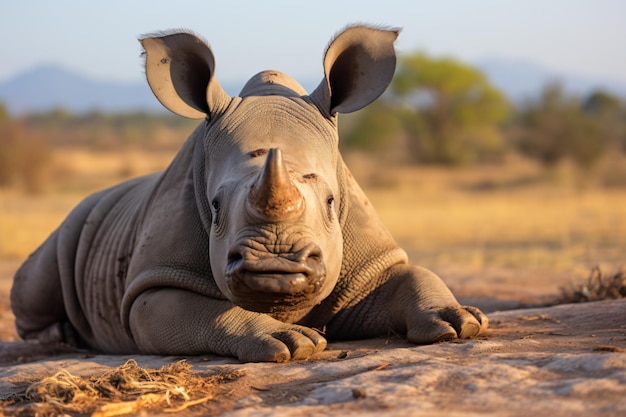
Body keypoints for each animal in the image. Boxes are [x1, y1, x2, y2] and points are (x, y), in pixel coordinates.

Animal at [11, 25, 488, 360]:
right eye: (216, 207)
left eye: (331, 202)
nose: (275, 265)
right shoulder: (153, 281)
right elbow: (200, 312)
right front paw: (291, 343)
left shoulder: (369, 264)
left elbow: (411, 276)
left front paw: (462, 321)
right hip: (75, 221)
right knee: (39, 277)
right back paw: (60, 337)